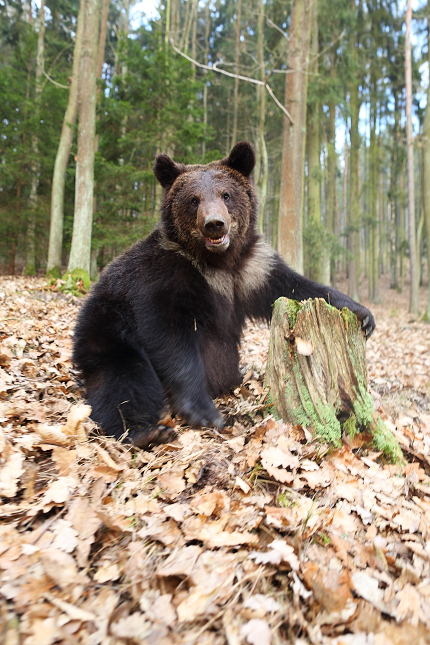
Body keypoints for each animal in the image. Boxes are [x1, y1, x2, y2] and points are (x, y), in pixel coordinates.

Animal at [72, 141, 374, 448]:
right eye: (193, 199)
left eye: (226, 194)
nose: (214, 223)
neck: (218, 263)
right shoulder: (162, 278)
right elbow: (169, 336)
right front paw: (203, 410)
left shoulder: (252, 271)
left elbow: (293, 286)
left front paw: (361, 313)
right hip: (107, 328)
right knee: (124, 378)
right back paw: (144, 431)